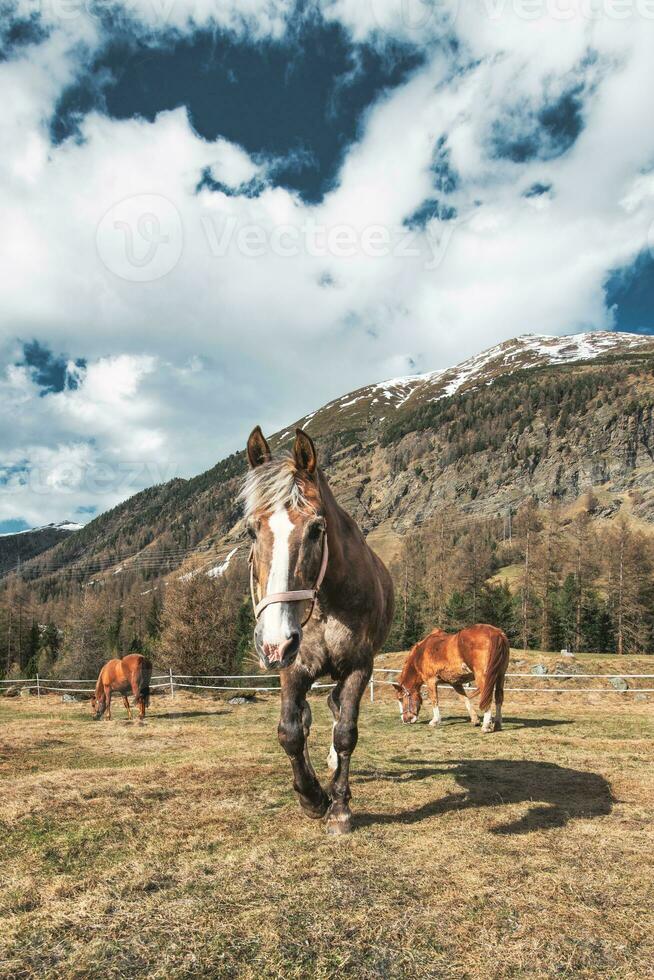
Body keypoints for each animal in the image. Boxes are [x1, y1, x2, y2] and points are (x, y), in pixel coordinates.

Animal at [242, 424, 392, 832]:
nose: (273, 643)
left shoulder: (358, 667)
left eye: (315, 529)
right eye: (251, 532)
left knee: (337, 709)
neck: (326, 603)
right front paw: (311, 797)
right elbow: (291, 732)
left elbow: (346, 733)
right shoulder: (294, 667)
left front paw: (338, 806)